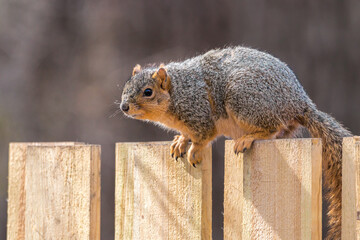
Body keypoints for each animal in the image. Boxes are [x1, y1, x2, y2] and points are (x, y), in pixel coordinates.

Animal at [120, 46, 352, 239]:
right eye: (125, 87)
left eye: (148, 92)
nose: (124, 107)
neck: (177, 91)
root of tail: (298, 103)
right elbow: (186, 135)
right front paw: (180, 141)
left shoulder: (199, 112)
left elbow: (203, 135)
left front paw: (194, 149)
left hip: (244, 99)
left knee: (271, 127)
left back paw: (247, 138)